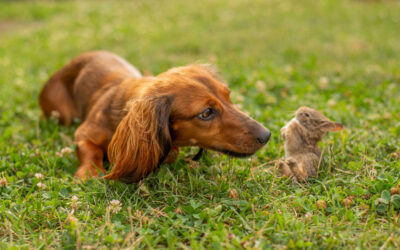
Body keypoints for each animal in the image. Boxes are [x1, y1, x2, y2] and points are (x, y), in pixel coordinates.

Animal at [38, 51, 272, 184]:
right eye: (206, 113)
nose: (267, 135)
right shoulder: (84, 133)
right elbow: (90, 151)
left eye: (228, 97)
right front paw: (89, 172)